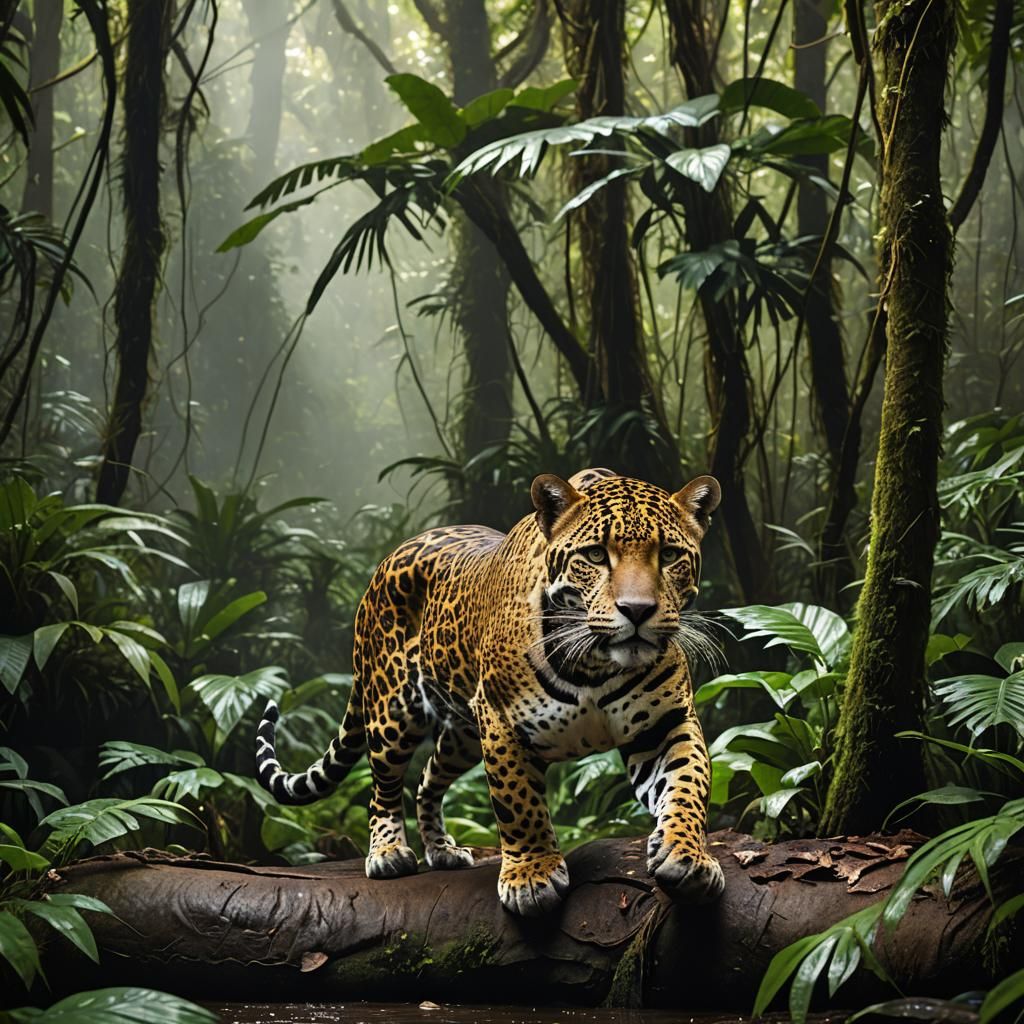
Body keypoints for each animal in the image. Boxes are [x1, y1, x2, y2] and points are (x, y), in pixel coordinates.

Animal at [255, 468, 726, 916]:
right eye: (595, 555)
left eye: (669, 555)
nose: (638, 611)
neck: (594, 664)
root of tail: (387, 561)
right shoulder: (501, 721)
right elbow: (518, 802)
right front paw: (532, 876)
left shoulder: (665, 724)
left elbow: (687, 785)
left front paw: (686, 854)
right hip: (392, 710)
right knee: (383, 787)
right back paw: (388, 852)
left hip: (462, 734)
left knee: (428, 779)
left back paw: (442, 850)